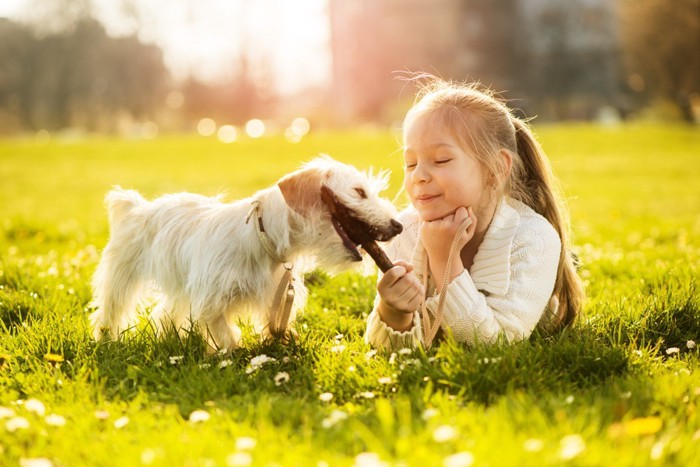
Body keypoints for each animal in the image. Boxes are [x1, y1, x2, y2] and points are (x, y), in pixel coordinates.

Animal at [90, 157, 402, 352]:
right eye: (359, 191)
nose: (398, 226)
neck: (261, 237)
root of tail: (138, 207)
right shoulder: (211, 299)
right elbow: (224, 332)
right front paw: (234, 353)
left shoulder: (274, 296)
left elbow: (273, 325)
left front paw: (281, 344)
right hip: (121, 277)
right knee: (110, 310)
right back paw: (106, 340)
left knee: (165, 313)